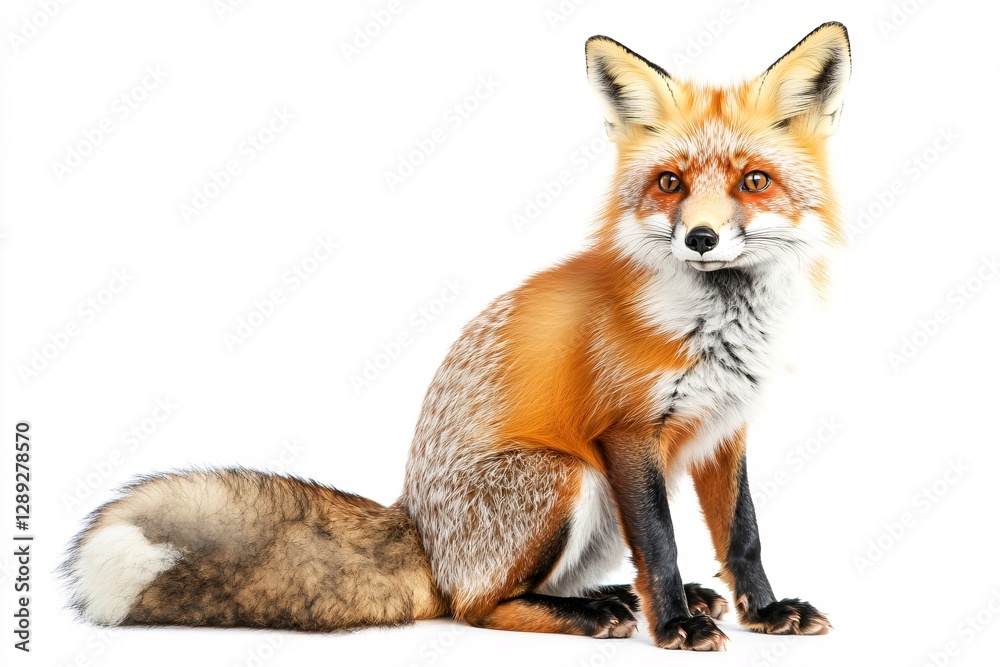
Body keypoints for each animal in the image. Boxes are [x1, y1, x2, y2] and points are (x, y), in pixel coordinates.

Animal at [65, 23, 850, 651]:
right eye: (669, 183)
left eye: (754, 180)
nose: (701, 237)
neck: (717, 326)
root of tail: (419, 525)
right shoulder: (628, 430)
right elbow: (660, 543)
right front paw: (676, 624)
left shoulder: (724, 428)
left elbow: (742, 534)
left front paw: (764, 610)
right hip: (567, 475)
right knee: (476, 605)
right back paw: (597, 612)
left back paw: (615, 595)